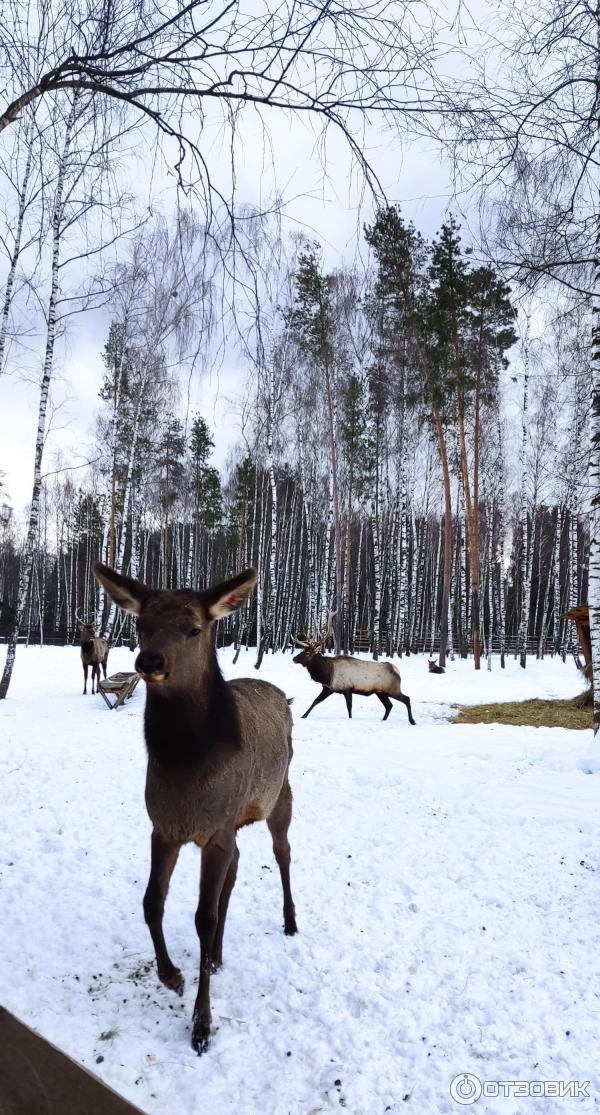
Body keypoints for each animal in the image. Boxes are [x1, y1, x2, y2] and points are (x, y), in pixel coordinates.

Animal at [93, 561, 296, 1057]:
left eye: (194, 628)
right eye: (141, 624)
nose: (150, 661)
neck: (186, 771)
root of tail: (283, 695)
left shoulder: (214, 830)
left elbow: (202, 917)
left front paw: (202, 1025)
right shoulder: (164, 828)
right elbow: (152, 901)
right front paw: (173, 976)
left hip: (279, 794)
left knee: (283, 853)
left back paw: (289, 921)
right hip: (236, 821)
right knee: (237, 869)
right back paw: (218, 956)